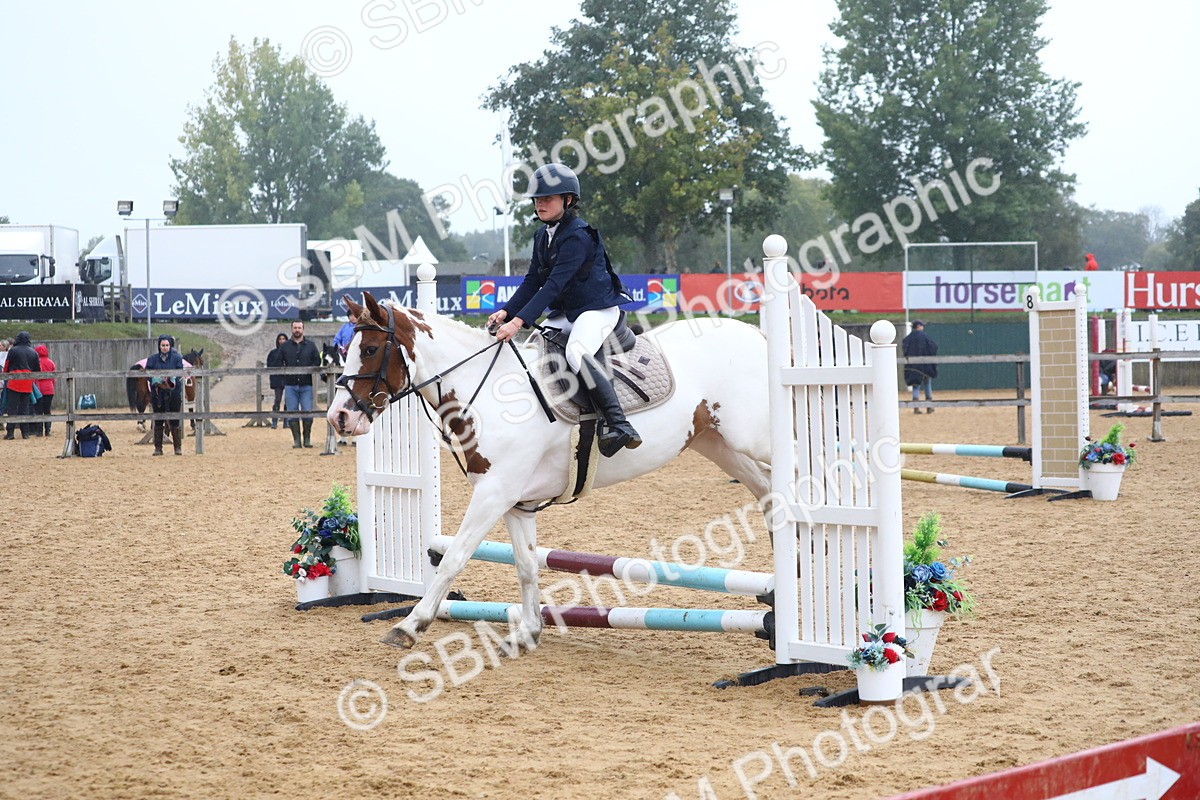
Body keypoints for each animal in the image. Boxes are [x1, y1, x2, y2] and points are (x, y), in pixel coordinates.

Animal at [327, 292, 771, 651]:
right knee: (767, 493)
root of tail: (757, 336)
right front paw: (527, 632)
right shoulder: (514, 501)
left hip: (753, 438)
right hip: (717, 444)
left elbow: (453, 557)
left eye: (370, 349)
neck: (489, 392)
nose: (339, 418)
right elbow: (526, 565)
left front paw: (409, 625)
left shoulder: (494, 493)